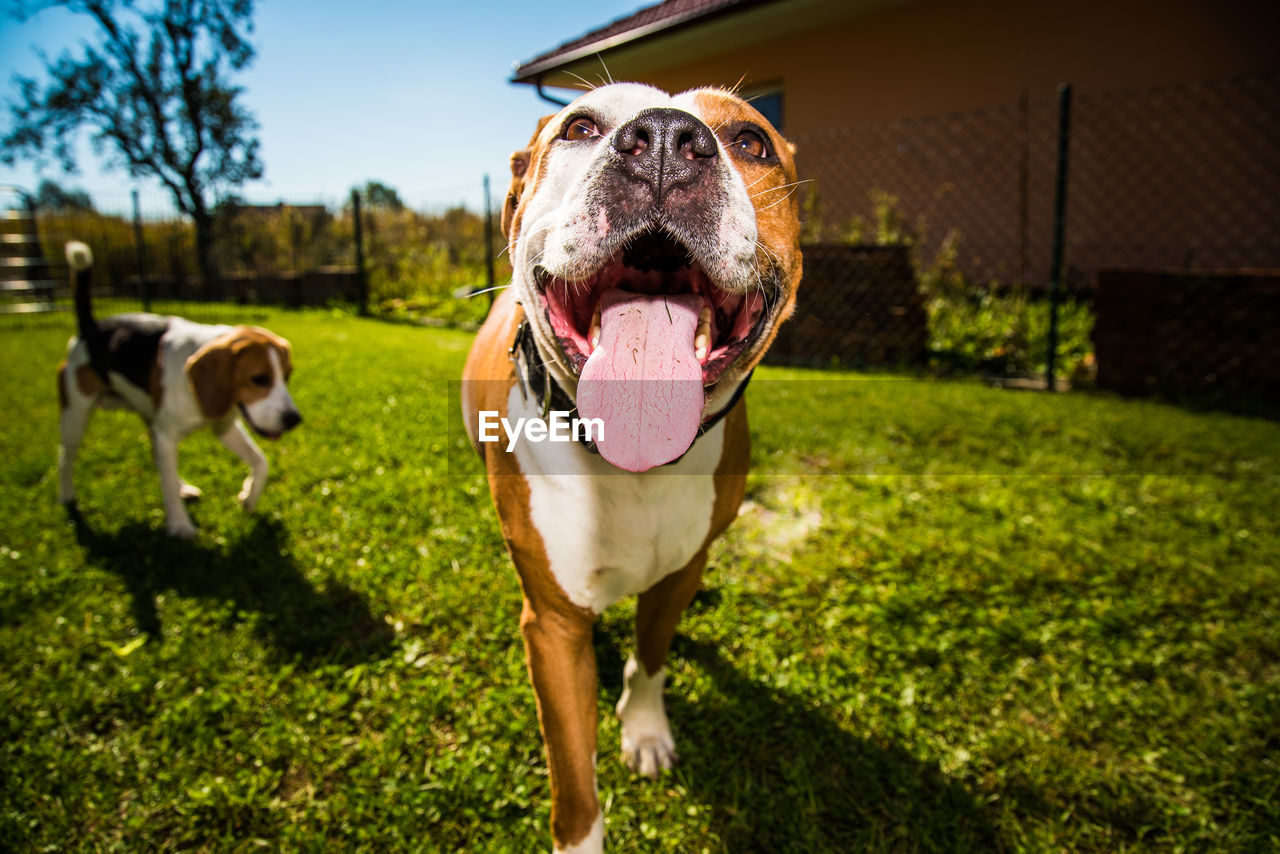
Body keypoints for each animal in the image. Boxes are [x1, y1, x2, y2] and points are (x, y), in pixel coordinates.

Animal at [59, 240, 302, 537]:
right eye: (259, 379)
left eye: (287, 376)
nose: (293, 419)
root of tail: (90, 328)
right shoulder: (167, 433)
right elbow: (166, 486)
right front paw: (180, 525)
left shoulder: (224, 425)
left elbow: (261, 462)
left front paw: (248, 497)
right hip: (75, 412)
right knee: (65, 457)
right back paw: (67, 497)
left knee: (157, 458)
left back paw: (183, 487)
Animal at [460, 81, 798, 854]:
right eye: (580, 127)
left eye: (753, 140)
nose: (668, 138)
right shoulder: (553, 629)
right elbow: (572, 778)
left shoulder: (678, 574)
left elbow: (651, 655)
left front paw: (643, 729)